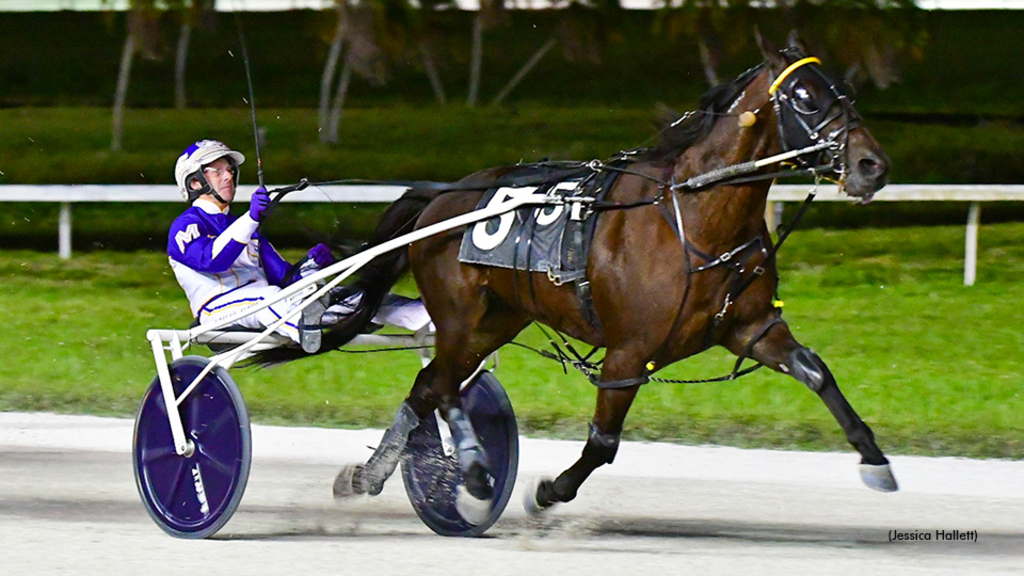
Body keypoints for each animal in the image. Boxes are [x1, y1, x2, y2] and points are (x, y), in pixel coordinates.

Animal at [258, 31, 897, 522]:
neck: (690, 215)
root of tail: (442, 196)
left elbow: (815, 371)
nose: (872, 165)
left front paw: (875, 460)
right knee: (442, 387)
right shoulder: (629, 352)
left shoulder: (750, 327)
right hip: (460, 314)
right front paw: (548, 492)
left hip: (500, 319)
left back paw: (388, 477)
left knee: (430, 387)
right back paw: (457, 476)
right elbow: (604, 442)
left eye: (848, 90)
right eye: (806, 97)